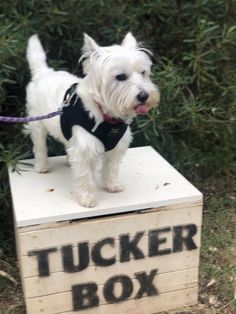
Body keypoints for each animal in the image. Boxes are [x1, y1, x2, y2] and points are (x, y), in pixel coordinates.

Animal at [25, 33, 159, 207]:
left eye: (143, 73)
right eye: (120, 77)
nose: (144, 96)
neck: (106, 115)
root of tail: (43, 72)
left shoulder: (116, 148)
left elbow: (111, 168)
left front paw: (112, 185)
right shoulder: (84, 149)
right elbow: (84, 176)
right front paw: (87, 198)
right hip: (37, 124)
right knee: (39, 146)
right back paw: (42, 166)